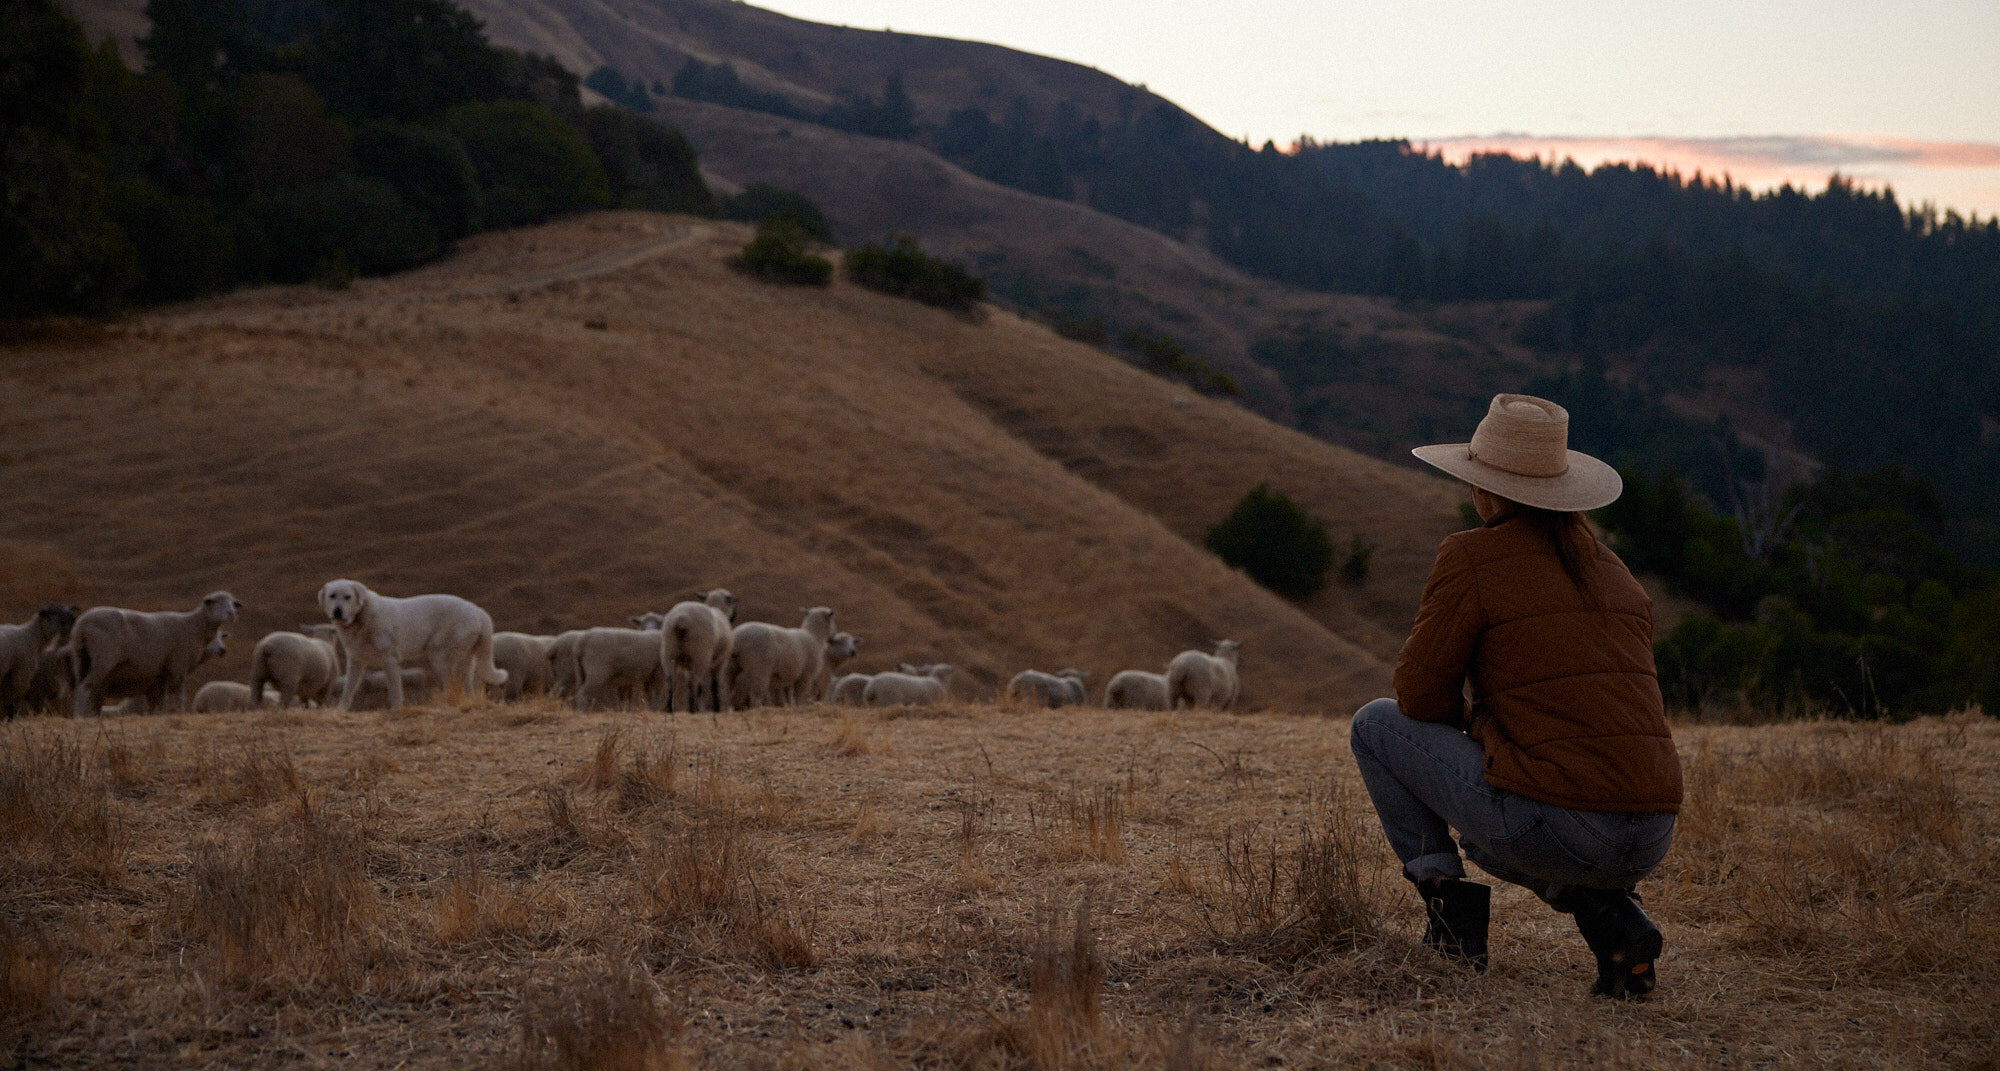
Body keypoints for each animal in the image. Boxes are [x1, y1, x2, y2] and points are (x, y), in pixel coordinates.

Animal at [68, 591, 240, 715]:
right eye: (216, 602)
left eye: (232, 603)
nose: (232, 613)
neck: (193, 625)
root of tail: (82, 624)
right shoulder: (179, 664)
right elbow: (180, 695)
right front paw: (181, 713)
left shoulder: (162, 672)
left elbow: (161, 699)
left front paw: (160, 714)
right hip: (103, 658)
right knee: (85, 688)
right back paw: (80, 716)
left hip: (80, 658)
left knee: (80, 687)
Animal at [318, 575, 508, 711]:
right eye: (332, 596)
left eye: (347, 597)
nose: (337, 611)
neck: (361, 617)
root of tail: (478, 611)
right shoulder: (356, 662)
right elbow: (348, 690)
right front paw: (340, 710)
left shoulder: (390, 660)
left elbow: (395, 690)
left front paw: (395, 710)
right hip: (465, 658)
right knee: (466, 682)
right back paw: (468, 702)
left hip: (440, 656)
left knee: (451, 682)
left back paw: (445, 703)